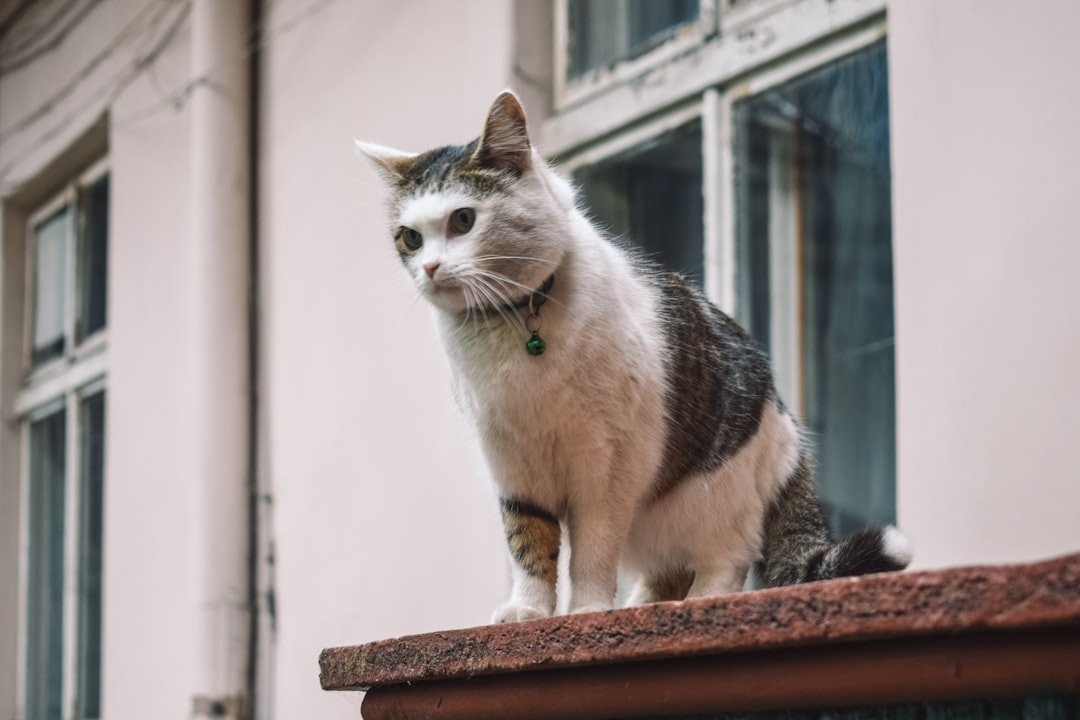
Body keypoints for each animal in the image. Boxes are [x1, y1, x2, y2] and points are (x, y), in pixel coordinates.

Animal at [356, 91, 911, 626]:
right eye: (410, 237)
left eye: (464, 219)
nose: (430, 267)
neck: (514, 325)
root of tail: (791, 436)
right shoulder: (513, 466)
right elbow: (527, 544)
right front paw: (528, 611)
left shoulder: (607, 465)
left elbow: (592, 549)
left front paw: (586, 610)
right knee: (667, 570)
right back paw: (639, 604)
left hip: (709, 497)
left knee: (727, 557)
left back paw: (701, 602)